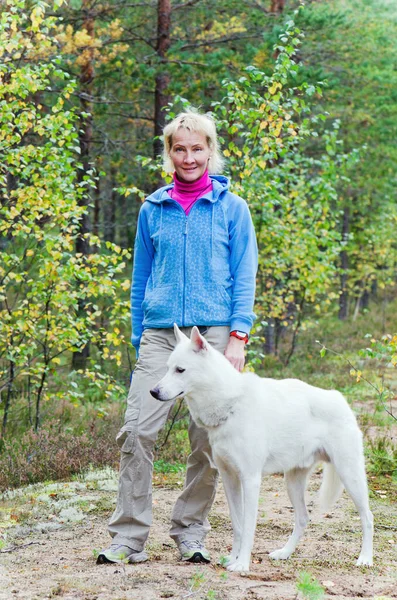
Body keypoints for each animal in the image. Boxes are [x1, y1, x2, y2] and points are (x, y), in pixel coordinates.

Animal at [150, 324, 372, 572]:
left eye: (180, 370)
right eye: (167, 368)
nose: (153, 392)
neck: (230, 403)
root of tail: (339, 398)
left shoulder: (250, 479)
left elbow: (248, 527)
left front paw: (242, 564)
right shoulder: (229, 479)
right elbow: (237, 525)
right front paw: (233, 559)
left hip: (350, 476)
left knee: (367, 517)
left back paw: (365, 558)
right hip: (293, 482)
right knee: (303, 518)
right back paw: (284, 553)